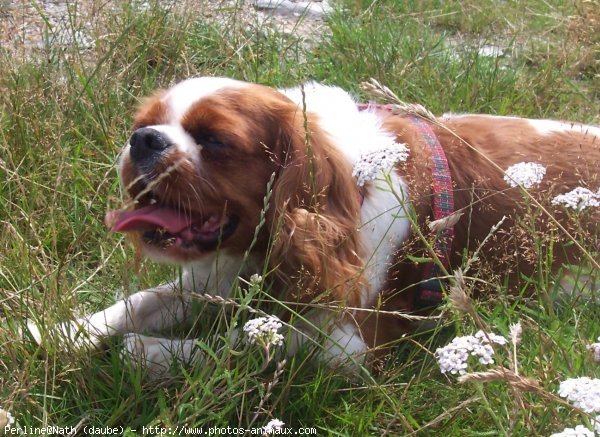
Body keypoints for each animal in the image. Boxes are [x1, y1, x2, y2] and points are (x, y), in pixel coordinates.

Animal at [29, 76, 600, 372]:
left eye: (214, 140)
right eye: (141, 125)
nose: (143, 140)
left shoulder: (356, 342)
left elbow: (248, 340)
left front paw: (153, 352)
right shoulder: (217, 276)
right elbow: (141, 302)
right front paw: (62, 331)